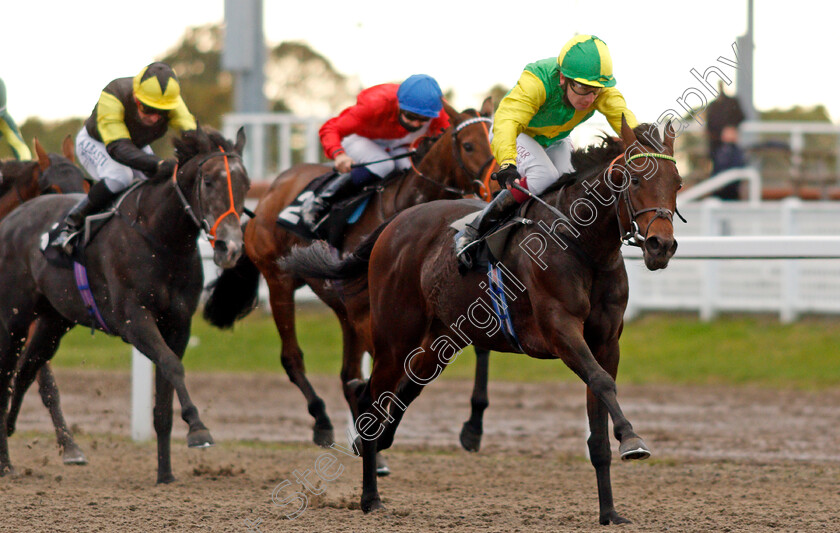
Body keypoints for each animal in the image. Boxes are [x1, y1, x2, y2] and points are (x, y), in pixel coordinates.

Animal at [202, 98, 498, 448]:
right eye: (468, 146)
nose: (497, 182)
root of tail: (269, 194)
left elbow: (475, 345)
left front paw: (474, 425)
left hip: (341, 305)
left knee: (347, 373)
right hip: (280, 282)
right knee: (293, 357)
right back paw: (322, 421)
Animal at [282, 118, 684, 520]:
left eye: (677, 183)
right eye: (635, 180)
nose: (661, 246)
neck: (584, 246)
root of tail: (395, 221)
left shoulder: (606, 341)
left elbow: (598, 416)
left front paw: (609, 512)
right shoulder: (560, 329)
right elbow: (601, 381)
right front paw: (632, 439)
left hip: (440, 341)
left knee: (401, 392)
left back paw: (381, 445)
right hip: (395, 337)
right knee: (370, 396)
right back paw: (370, 497)